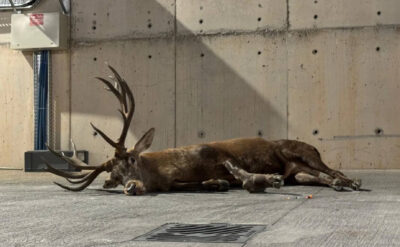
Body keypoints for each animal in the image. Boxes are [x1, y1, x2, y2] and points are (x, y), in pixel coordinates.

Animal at [44, 65, 362, 195]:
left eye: (132, 160)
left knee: (332, 169)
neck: (170, 169)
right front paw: (216, 183)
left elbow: (237, 171)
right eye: (114, 177)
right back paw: (337, 184)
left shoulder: (217, 154)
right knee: (318, 177)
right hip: (299, 172)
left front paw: (261, 179)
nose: (130, 187)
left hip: (303, 153)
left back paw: (351, 181)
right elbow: (199, 183)